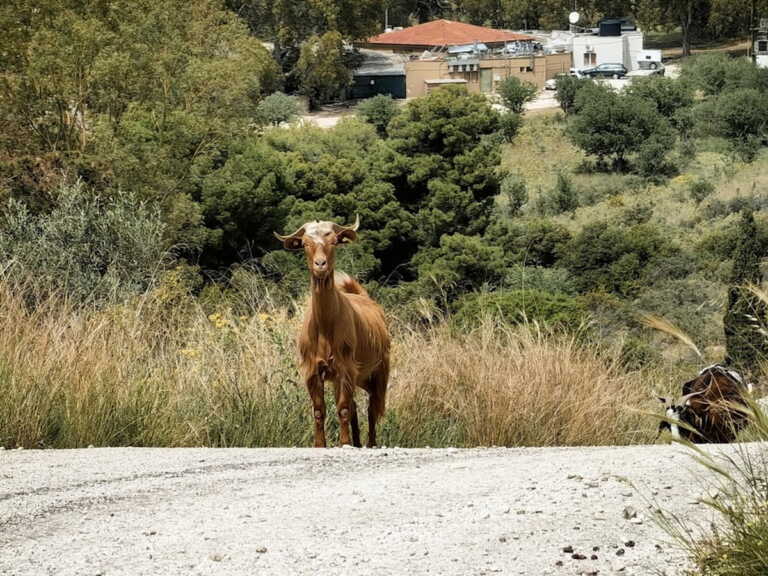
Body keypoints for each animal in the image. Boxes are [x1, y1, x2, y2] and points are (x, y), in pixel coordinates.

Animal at [274, 218, 390, 448]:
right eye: (305, 243)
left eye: (334, 241)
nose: (320, 265)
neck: (325, 327)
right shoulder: (313, 370)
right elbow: (320, 410)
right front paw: (320, 444)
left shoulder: (345, 367)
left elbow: (343, 408)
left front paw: (344, 442)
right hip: (358, 376)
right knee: (357, 406)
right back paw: (357, 442)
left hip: (379, 370)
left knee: (373, 407)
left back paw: (370, 443)